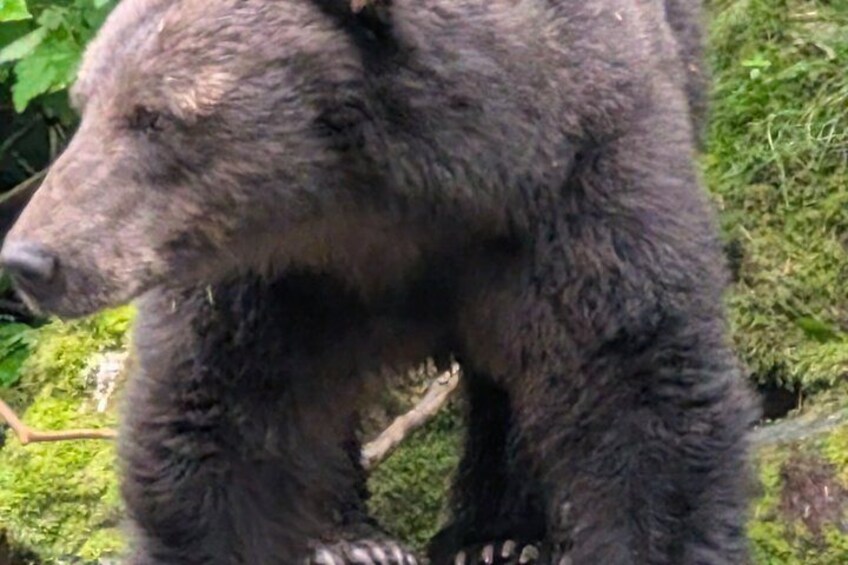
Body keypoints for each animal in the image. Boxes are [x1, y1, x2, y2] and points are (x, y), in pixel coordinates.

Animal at [0, 0, 757, 563]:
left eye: (155, 115)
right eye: (86, 104)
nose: (31, 259)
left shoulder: (578, 190)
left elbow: (640, 392)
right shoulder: (267, 278)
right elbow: (215, 426)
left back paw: (500, 536)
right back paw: (352, 540)